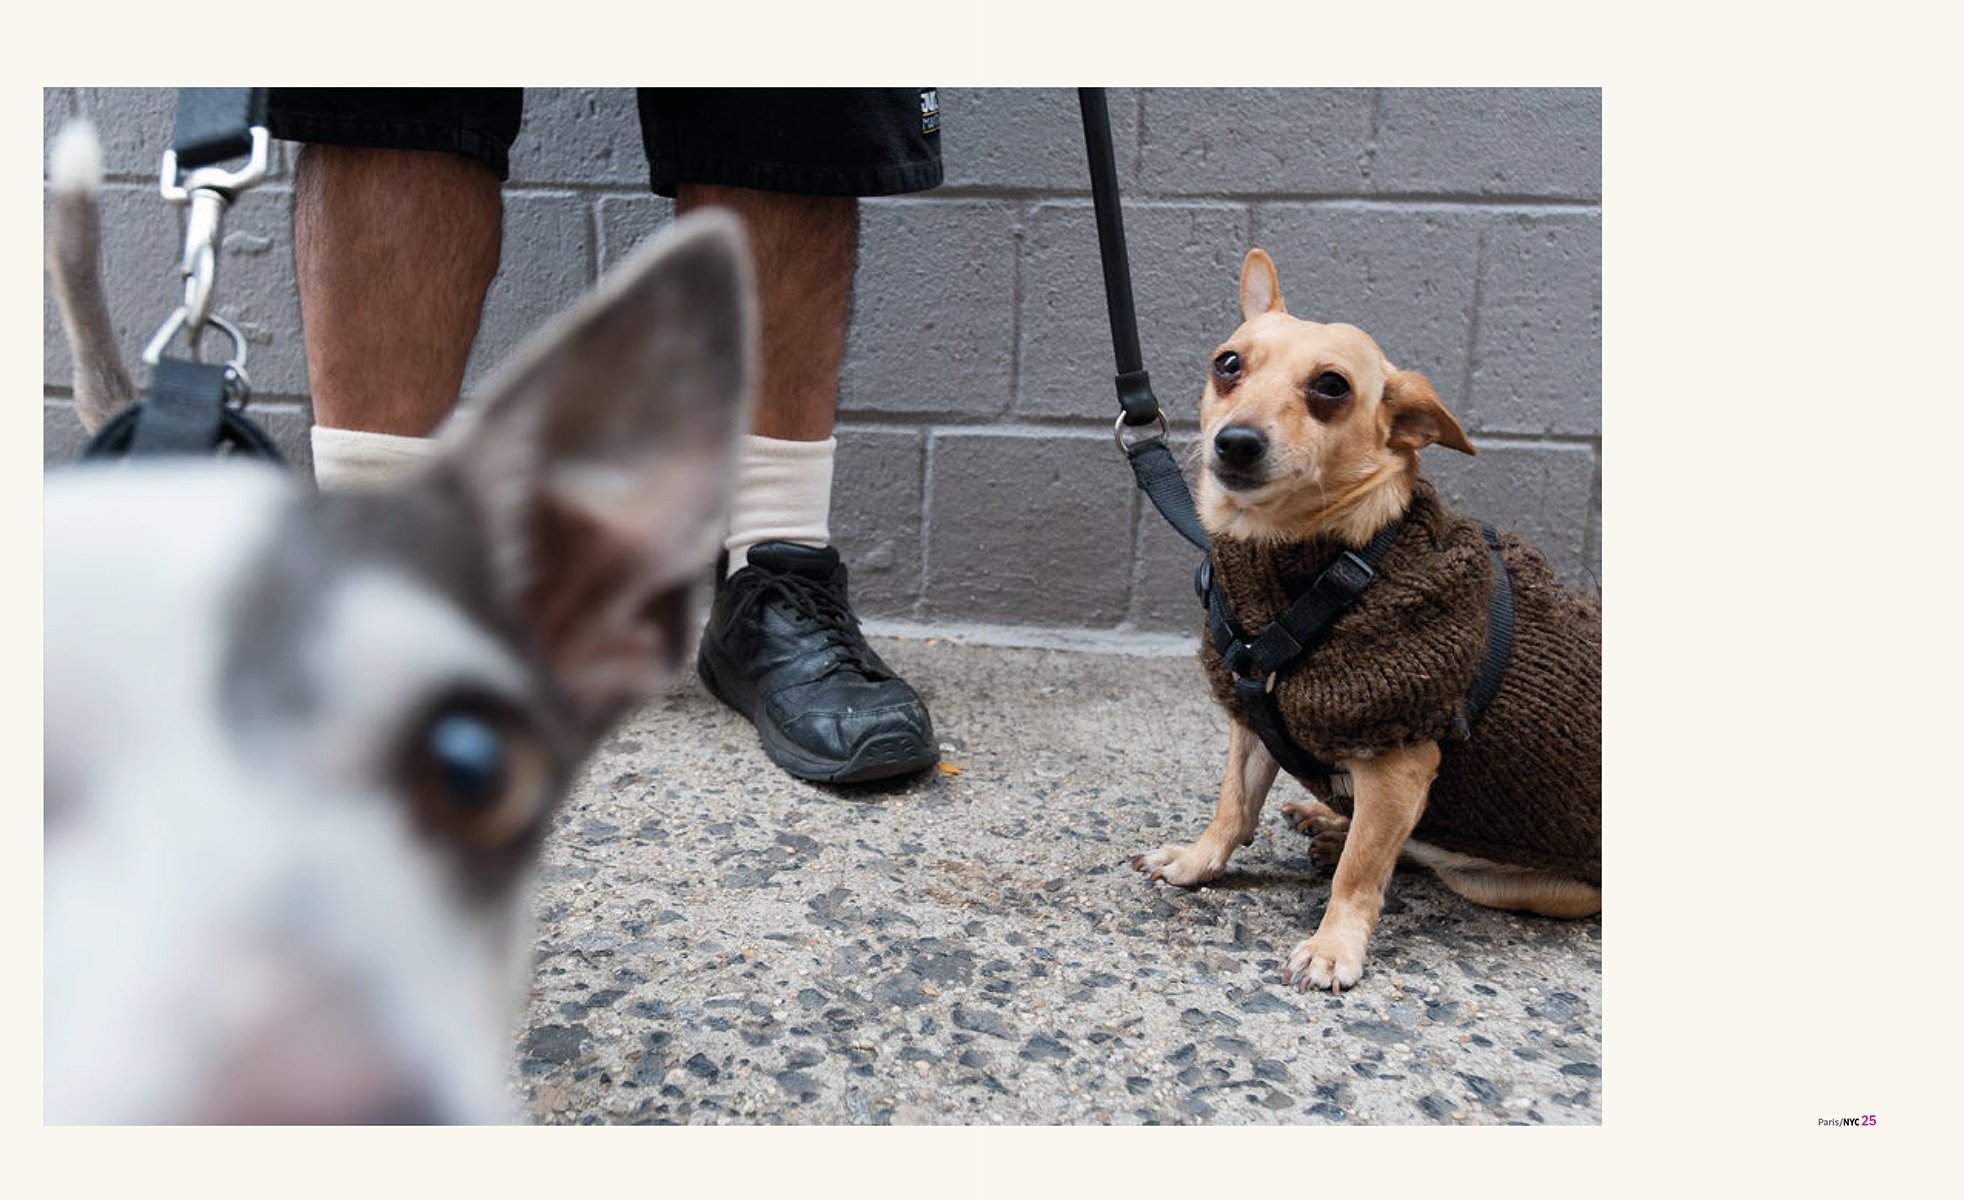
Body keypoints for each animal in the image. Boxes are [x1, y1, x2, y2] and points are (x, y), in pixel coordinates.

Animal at [1131, 246, 1602, 993]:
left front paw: (1334, 946)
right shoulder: (1252, 719)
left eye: (1331, 387)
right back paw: (1326, 816)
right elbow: (1234, 805)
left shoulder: (1399, 758)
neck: (1319, 560)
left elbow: (1361, 872)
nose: (1236, 442)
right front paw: (1200, 862)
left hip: (1502, 878)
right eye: (1227, 364)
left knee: (1416, 852)